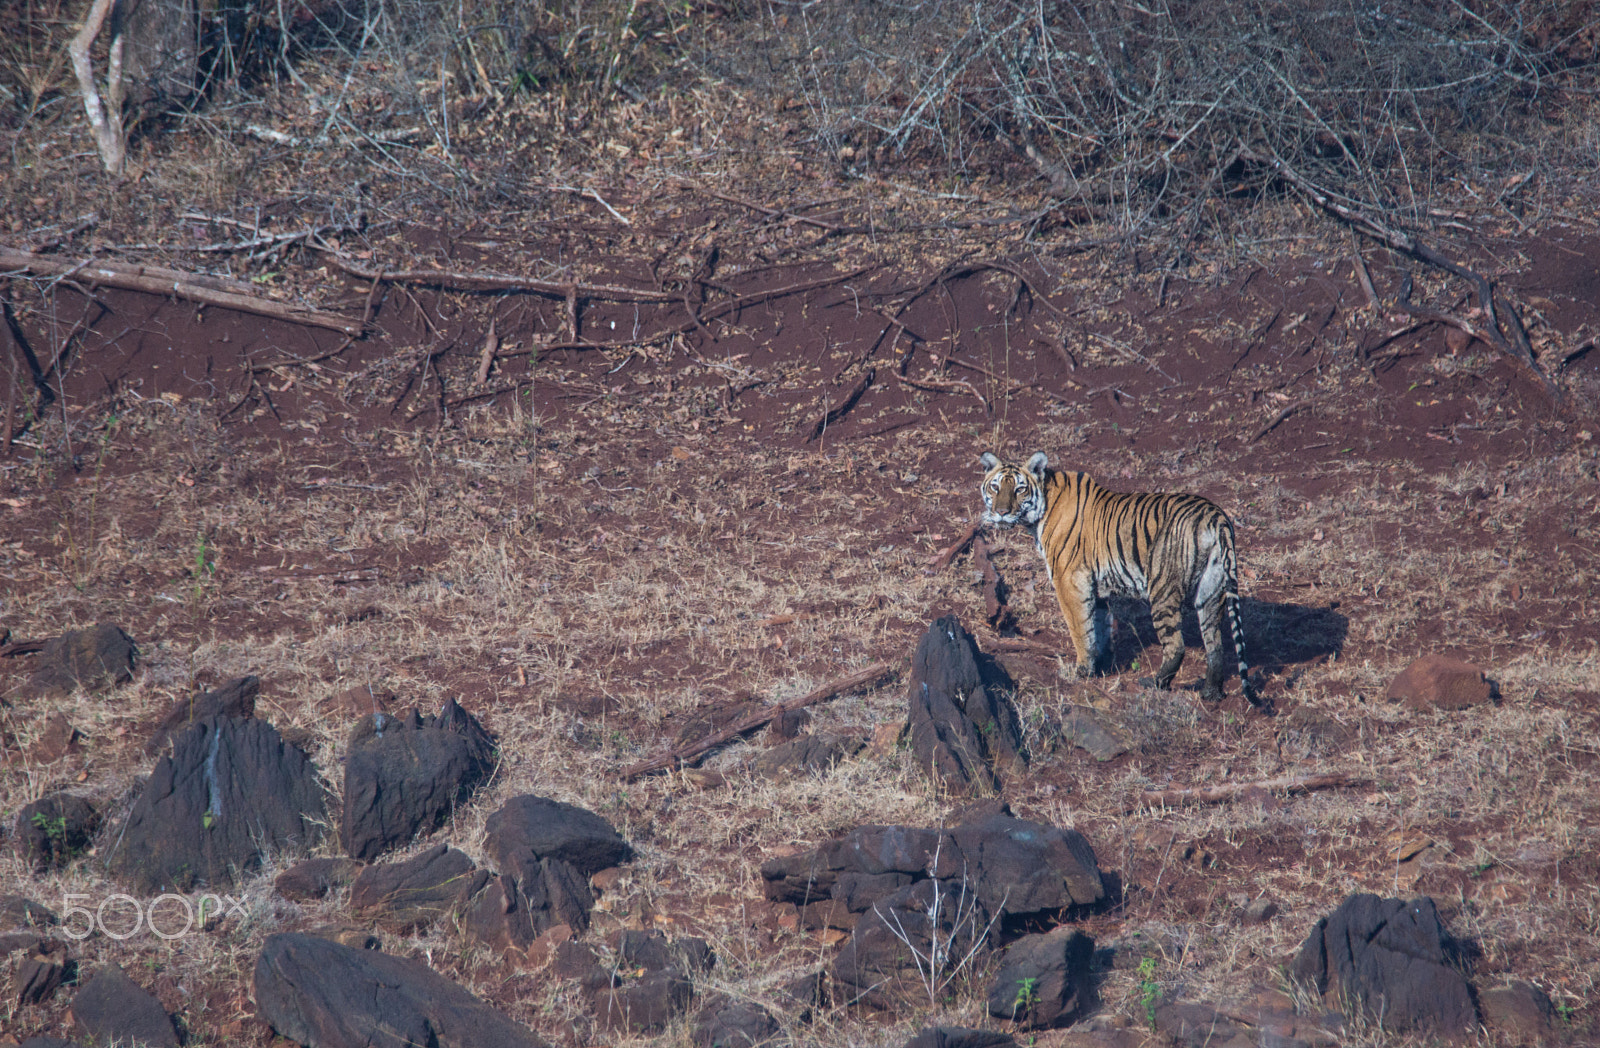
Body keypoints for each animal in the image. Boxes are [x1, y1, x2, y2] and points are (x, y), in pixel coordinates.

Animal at [972, 451, 1260, 704]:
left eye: (1020, 489)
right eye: (995, 487)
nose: (1001, 512)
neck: (1042, 505)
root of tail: (1216, 515)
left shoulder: (1069, 580)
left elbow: (1079, 628)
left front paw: (1081, 670)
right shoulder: (1095, 586)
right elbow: (1097, 626)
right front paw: (1100, 665)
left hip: (1163, 587)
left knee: (1176, 645)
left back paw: (1155, 683)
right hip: (1211, 588)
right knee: (1215, 646)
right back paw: (1211, 692)